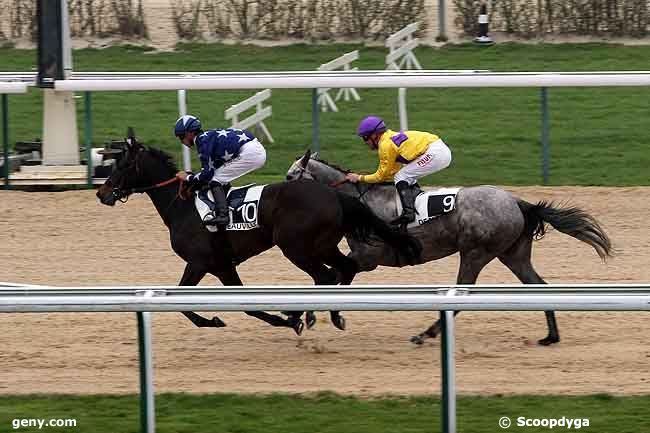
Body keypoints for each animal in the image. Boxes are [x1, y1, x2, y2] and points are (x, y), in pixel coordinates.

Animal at [96, 137, 420, 332]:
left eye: (123, 164)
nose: (102, 192)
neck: (182, 206)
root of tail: (333, 193)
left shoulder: (200, 262)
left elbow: (193, 305)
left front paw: (218, 320)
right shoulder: (221, 266)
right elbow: (245, 304)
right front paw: (280, 319)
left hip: (295, 247)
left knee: (326, 276)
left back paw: (307, 314)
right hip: (323, 245)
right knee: (346, 267)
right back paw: (333, 314)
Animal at [286, 150, 612, 346]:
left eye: (290, 176)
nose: (280, 195)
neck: (361, 202)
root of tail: (518, 202)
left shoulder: (368, 257)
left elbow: (334, 278)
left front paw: (314, 316)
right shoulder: (363, 258)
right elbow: (334, 278)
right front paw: (313, 316)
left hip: (475, 253)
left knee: (462, 294)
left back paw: (425, 334)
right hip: (512, 254)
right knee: (539, 286)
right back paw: (551, 336)